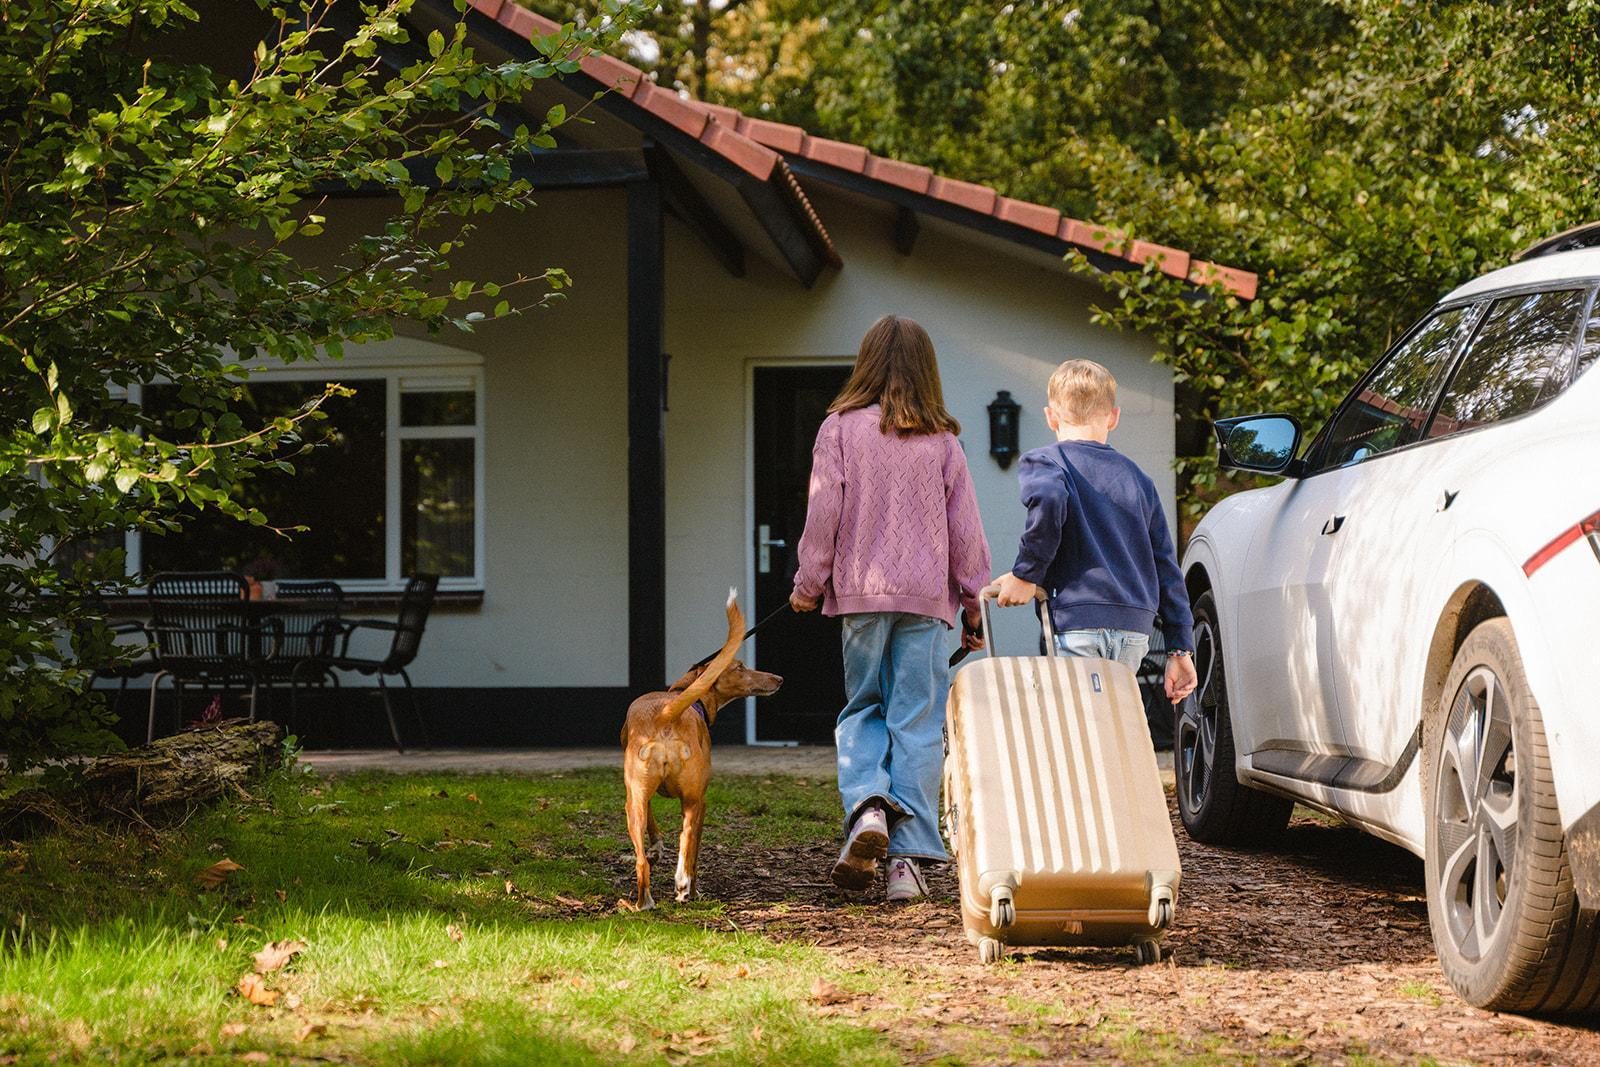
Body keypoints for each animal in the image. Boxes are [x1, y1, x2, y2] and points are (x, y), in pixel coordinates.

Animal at [617, 591, 780, 908]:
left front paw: (658, 850)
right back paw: (683, 886)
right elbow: (693, 850)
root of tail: (666, 714)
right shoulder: (701, 802)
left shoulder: (641, 796)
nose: (779, 679)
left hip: (636, 802)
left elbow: (654, 826)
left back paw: (642, 904)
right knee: (687, 846)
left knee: (642, 862)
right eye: (740, 668)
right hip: (691, 801)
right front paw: (692, 887)